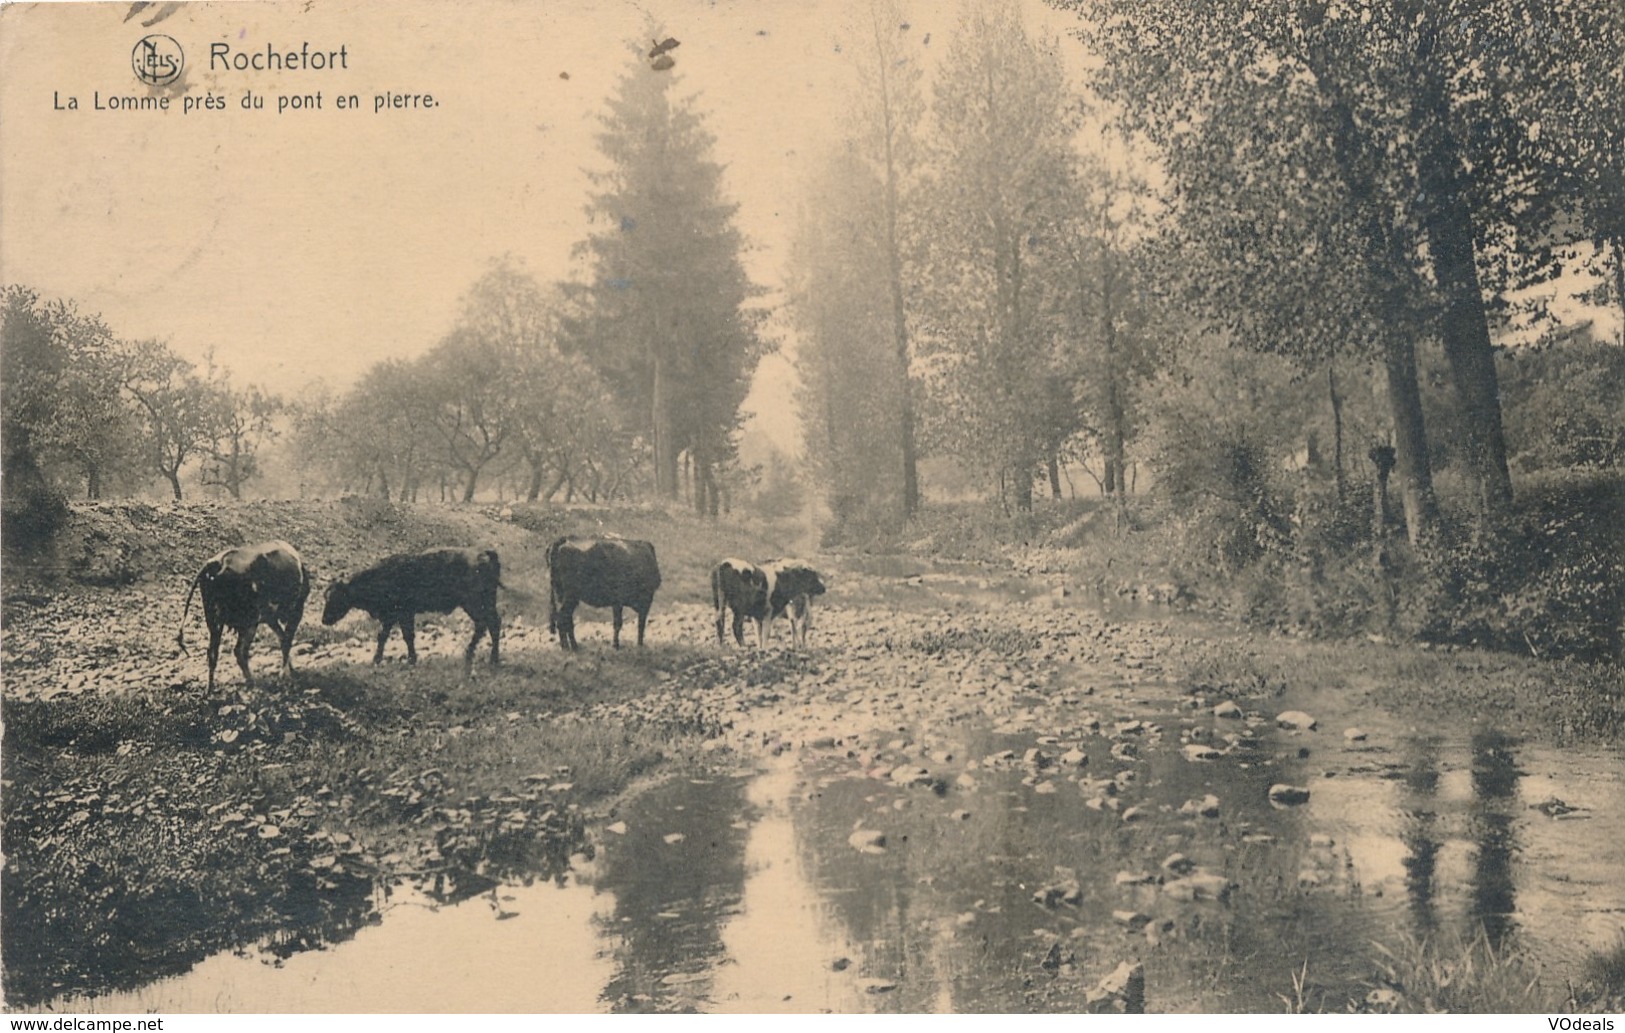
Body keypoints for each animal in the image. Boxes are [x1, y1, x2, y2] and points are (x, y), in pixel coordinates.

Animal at [179, 539, 315, 695]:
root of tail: (216, 562)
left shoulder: (270, 618)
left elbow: (282, 638)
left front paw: (289, 670)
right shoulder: (296, 610)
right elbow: (286, 640)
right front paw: (286, 674)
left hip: (214, 621)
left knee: (213, 653)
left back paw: (210, 689)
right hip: (248, 622)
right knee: (239, 651)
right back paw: (251, 682)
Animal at [315, 545, 494, 672]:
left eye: (337, 598)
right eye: (325, 597)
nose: (324, 620)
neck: (382, 576)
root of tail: (484, 554)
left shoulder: (403, 614)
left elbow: (407, 636)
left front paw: (410, 659)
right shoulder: (391, 616)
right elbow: (384, 636)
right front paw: (377, 659)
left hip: (473, 604)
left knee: (486, 624)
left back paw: (477, 656)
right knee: (491, 625)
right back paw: (489, 659)